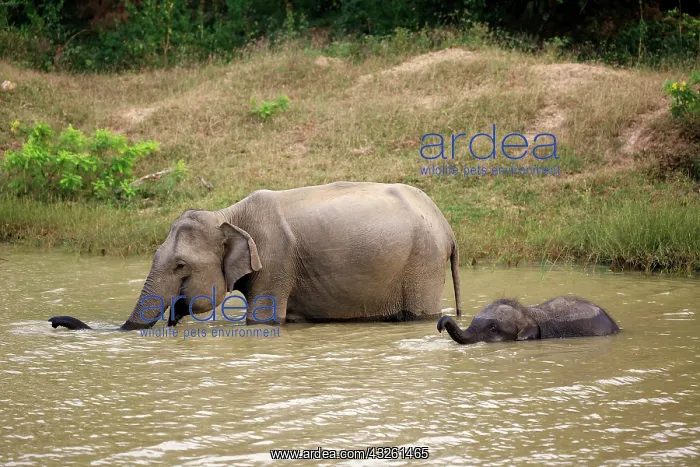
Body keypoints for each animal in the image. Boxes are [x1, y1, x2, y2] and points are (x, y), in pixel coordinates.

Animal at [49, 181, 462, 331]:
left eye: (181, 266)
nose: (53, 321)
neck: (228, 215)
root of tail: (447, 225)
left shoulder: (276, 259)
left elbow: (262, 320)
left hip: (422, 264)